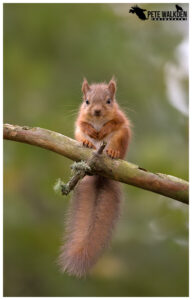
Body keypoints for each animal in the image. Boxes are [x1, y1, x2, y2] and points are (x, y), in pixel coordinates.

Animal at [58, 77, 131, 276]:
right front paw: (92, 133)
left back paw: (113, 152)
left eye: (109, 101)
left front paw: (103, 130)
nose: (97, 111)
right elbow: (82, 124)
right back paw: (87, 142)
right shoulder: (80, 119)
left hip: (121, 138)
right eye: (87, 101)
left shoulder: (120, 119)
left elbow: (113, 123)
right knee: (82, 136)